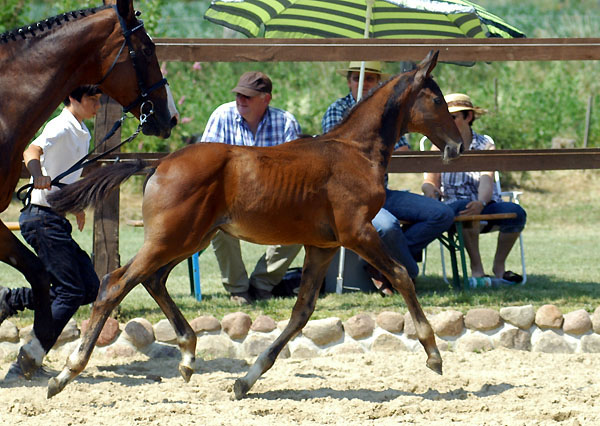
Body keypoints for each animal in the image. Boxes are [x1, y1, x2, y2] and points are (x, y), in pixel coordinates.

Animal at [47, 50, 462, 400]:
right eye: (437, 101)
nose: (458, 145)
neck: (355, 151)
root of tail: (158, 164)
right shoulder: (357, 232)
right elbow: (402, 275)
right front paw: (433, 353)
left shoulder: (323, 246)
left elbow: (301, 312)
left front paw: (245, 380)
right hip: (173, 238)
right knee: (115, 283)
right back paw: (65, 373)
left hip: (191, 239)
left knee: (153, 280)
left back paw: (188, 355)